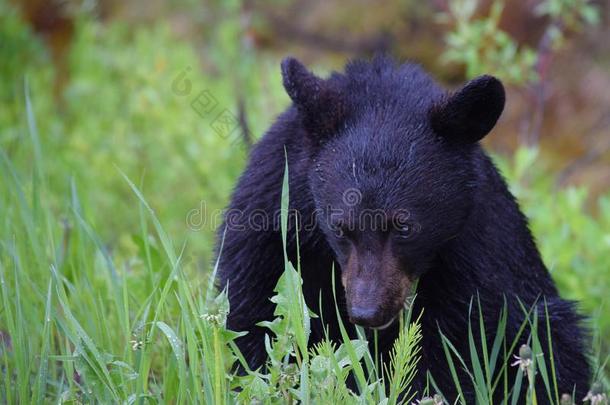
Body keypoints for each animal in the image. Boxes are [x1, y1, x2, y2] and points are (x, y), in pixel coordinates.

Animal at [215, 56, 588, 400]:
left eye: (404, 227)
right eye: (341, 228)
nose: (367, 311)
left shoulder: (474, 251)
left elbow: (458, 346)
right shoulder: (269, 213)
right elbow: (252, 310)